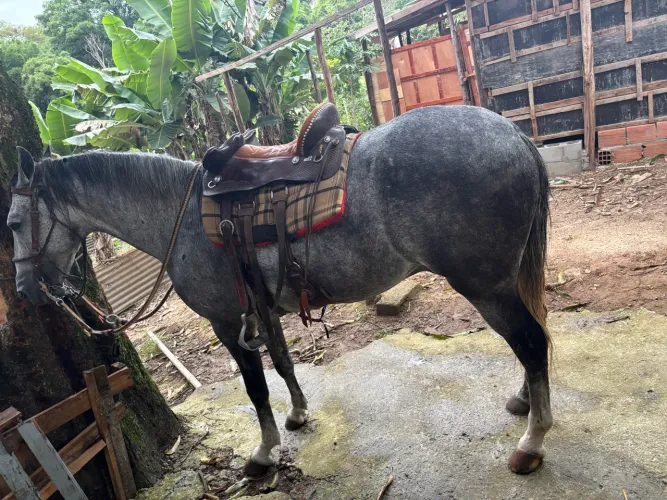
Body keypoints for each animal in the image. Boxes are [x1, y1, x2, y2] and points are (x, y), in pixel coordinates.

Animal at [8, 105, 551, 477]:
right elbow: (284, 362)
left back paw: (531, 443)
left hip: (484, 286)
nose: (27, 289)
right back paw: (523, 401)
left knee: (531, 342)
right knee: (535, 337)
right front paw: (298, 414)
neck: (180, 217)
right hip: (504, 282)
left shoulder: (225, 321)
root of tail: (514, 133)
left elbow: (255, 386)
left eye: (12, 223)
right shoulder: (263, 310)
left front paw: (264, 452)